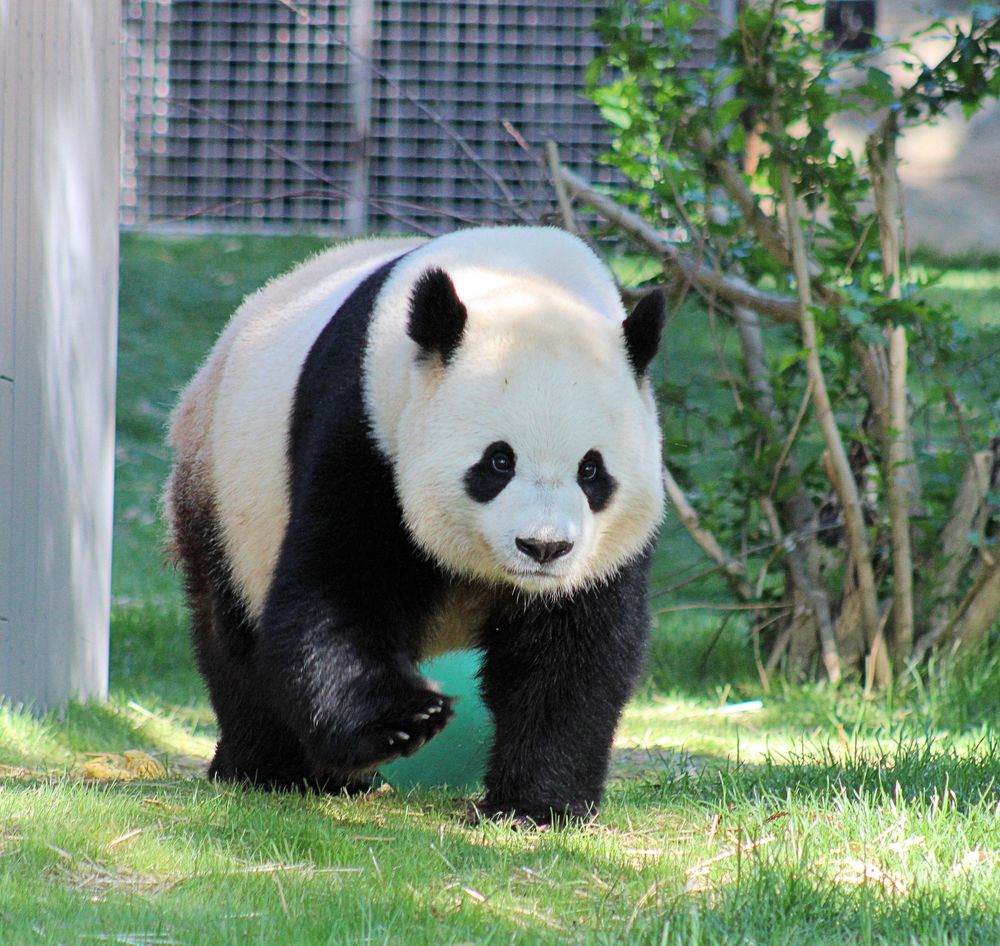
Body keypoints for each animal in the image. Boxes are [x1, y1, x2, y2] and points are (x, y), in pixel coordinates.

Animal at [165, 226, 665, 826]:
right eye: (499, 461)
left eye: (591, 470)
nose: (543, 548)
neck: (521, 281)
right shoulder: (365, 427)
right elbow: (341, 586)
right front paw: (406, 722)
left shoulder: (598, 555)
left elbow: (572, 651)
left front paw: (537, 805)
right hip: (225, 488)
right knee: (232, 629)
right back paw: (274, 769)